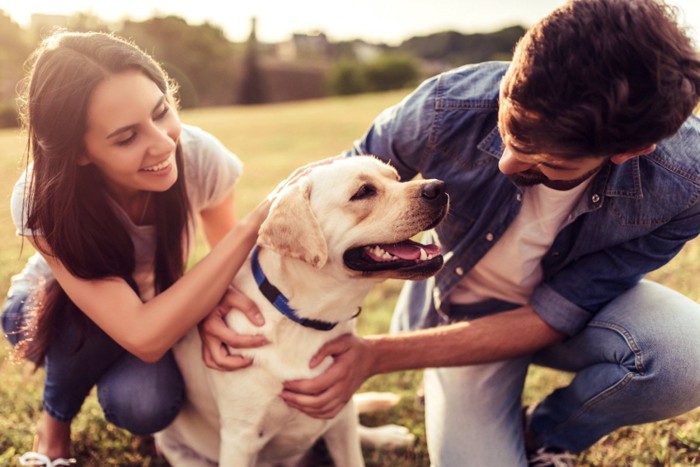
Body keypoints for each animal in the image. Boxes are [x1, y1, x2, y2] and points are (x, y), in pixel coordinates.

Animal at [154, 156, 448, 467]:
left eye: (396, 177)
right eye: (364, 192)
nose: (439, 187)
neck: (306, 321)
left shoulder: (339, 412)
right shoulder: (240, 438)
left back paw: (387, 436)